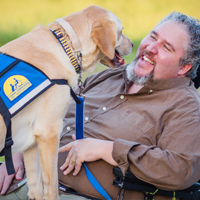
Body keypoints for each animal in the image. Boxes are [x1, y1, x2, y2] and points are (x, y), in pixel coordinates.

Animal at [0, 4, 132, 200]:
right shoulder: (49, 134)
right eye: (121, 31)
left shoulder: (32, 141)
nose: (133, 45)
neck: (64, 45)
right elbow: (51, 187)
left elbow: (36, 187)